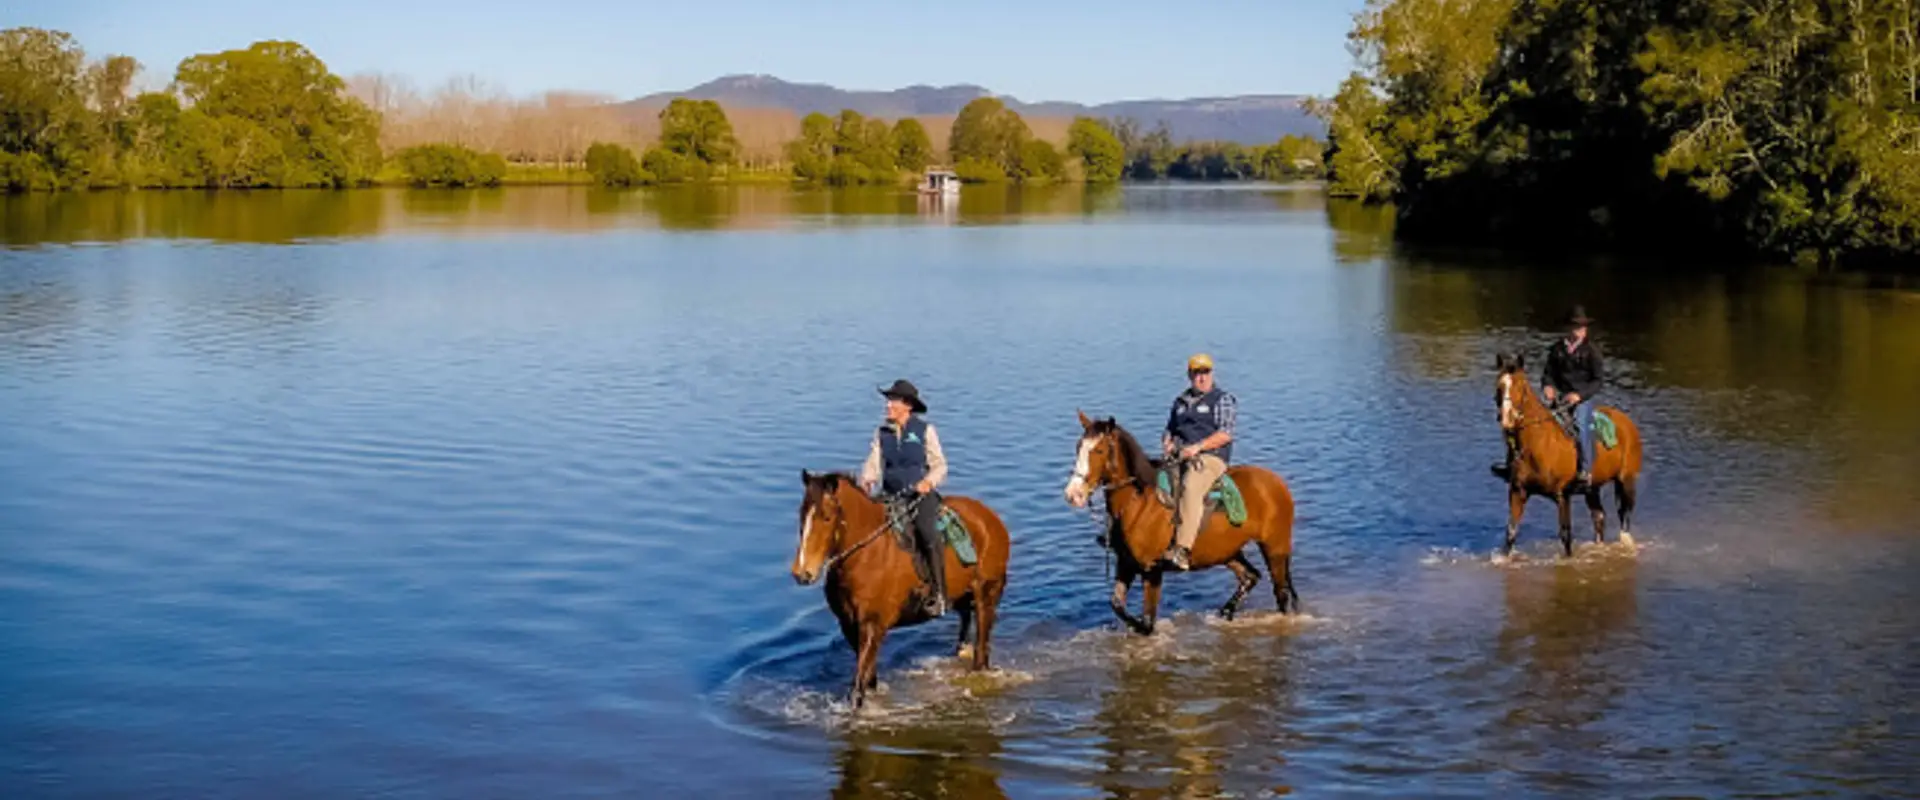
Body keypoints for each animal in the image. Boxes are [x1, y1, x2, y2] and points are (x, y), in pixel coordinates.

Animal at [789, 471, 1011, 708]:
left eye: (827, 517)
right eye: (802, 515)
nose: (802, 573)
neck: (866, 555)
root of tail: (990, 518)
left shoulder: (873, 625)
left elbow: (857, 689)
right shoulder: (849, 625)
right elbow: (869, 679)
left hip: (986, 595)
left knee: (982, 651)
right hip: (962, 595)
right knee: (966, 621)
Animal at [1063, 411, 1298, 635]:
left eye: (1099, 451)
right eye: (1078, 447)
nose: (1073, 494)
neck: (1138, 502)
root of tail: (1277, 482)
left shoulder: (1151, 570)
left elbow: (1147, 622)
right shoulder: (1126, 563)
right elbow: (1117, 604)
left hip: (1274, 547)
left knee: (1281, 592)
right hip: (1226, 552)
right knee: (1250, 577)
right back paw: (1227, 611)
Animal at [1493, 353, 1644, 556]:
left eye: (1521, 386)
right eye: (1499, 385)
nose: (1507, 419)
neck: (1539, 445)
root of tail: (1626, 422)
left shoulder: (1562, 496)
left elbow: (1566, 535)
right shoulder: (1518, 491)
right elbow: (1511, 532)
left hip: (1626, 479)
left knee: (1624, 514)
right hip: (1592, 487)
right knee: (1599, 516)